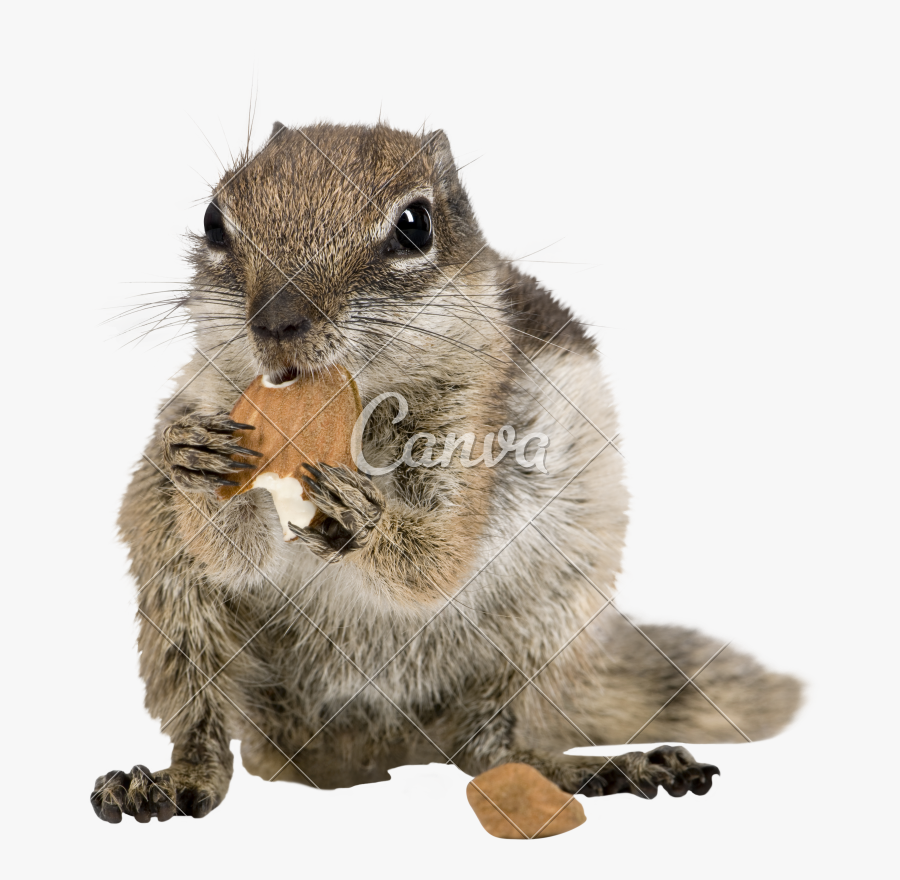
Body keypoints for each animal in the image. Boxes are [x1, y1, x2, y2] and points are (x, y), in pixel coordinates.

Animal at [91, 122, 801, 823]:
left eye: (414, 225)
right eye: (213, 221)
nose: (276, 322)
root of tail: (374, 747)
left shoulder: (472, 434)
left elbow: (437, 560)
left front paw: (365, 518)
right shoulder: (208, 406)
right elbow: (231, 554)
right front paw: (197, 460)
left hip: (543, 631)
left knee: (495, 746)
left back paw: (598, 767)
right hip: (177, 608)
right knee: (206, 723)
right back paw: (175, 779)